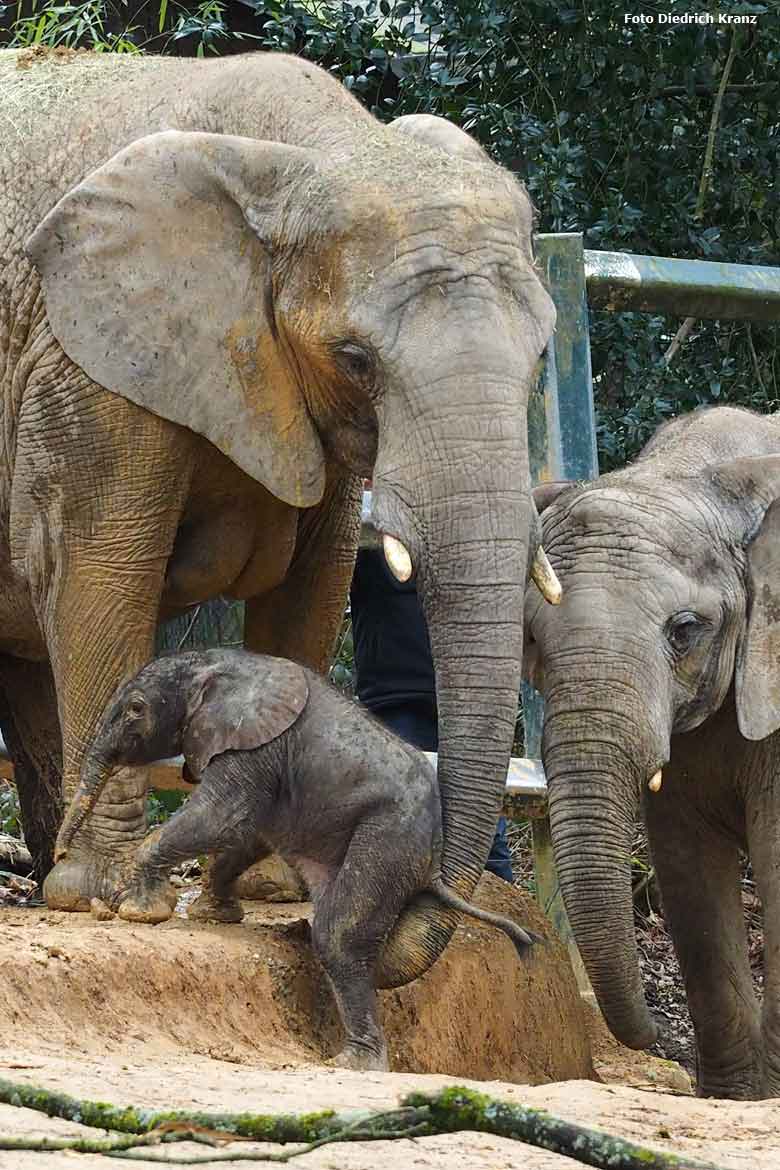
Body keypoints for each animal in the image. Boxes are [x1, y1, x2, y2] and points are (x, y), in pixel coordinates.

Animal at [1, 45, 561, 978]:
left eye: (543, 355)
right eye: (356, 357)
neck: (306, 151)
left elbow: (310, 594)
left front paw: (276, 886)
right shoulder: (87, 361)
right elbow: (97, 577)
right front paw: (108, 898)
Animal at [57, 650, 540, 1071]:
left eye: (135, 709)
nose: (58, 851)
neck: (216, 662)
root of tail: (435, 862)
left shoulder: (254, 748)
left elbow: (221, 816)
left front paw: (137, 911)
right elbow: (247, 831)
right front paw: (212, 914)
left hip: (388, 840)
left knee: (339, 934)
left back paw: (353, 1064)